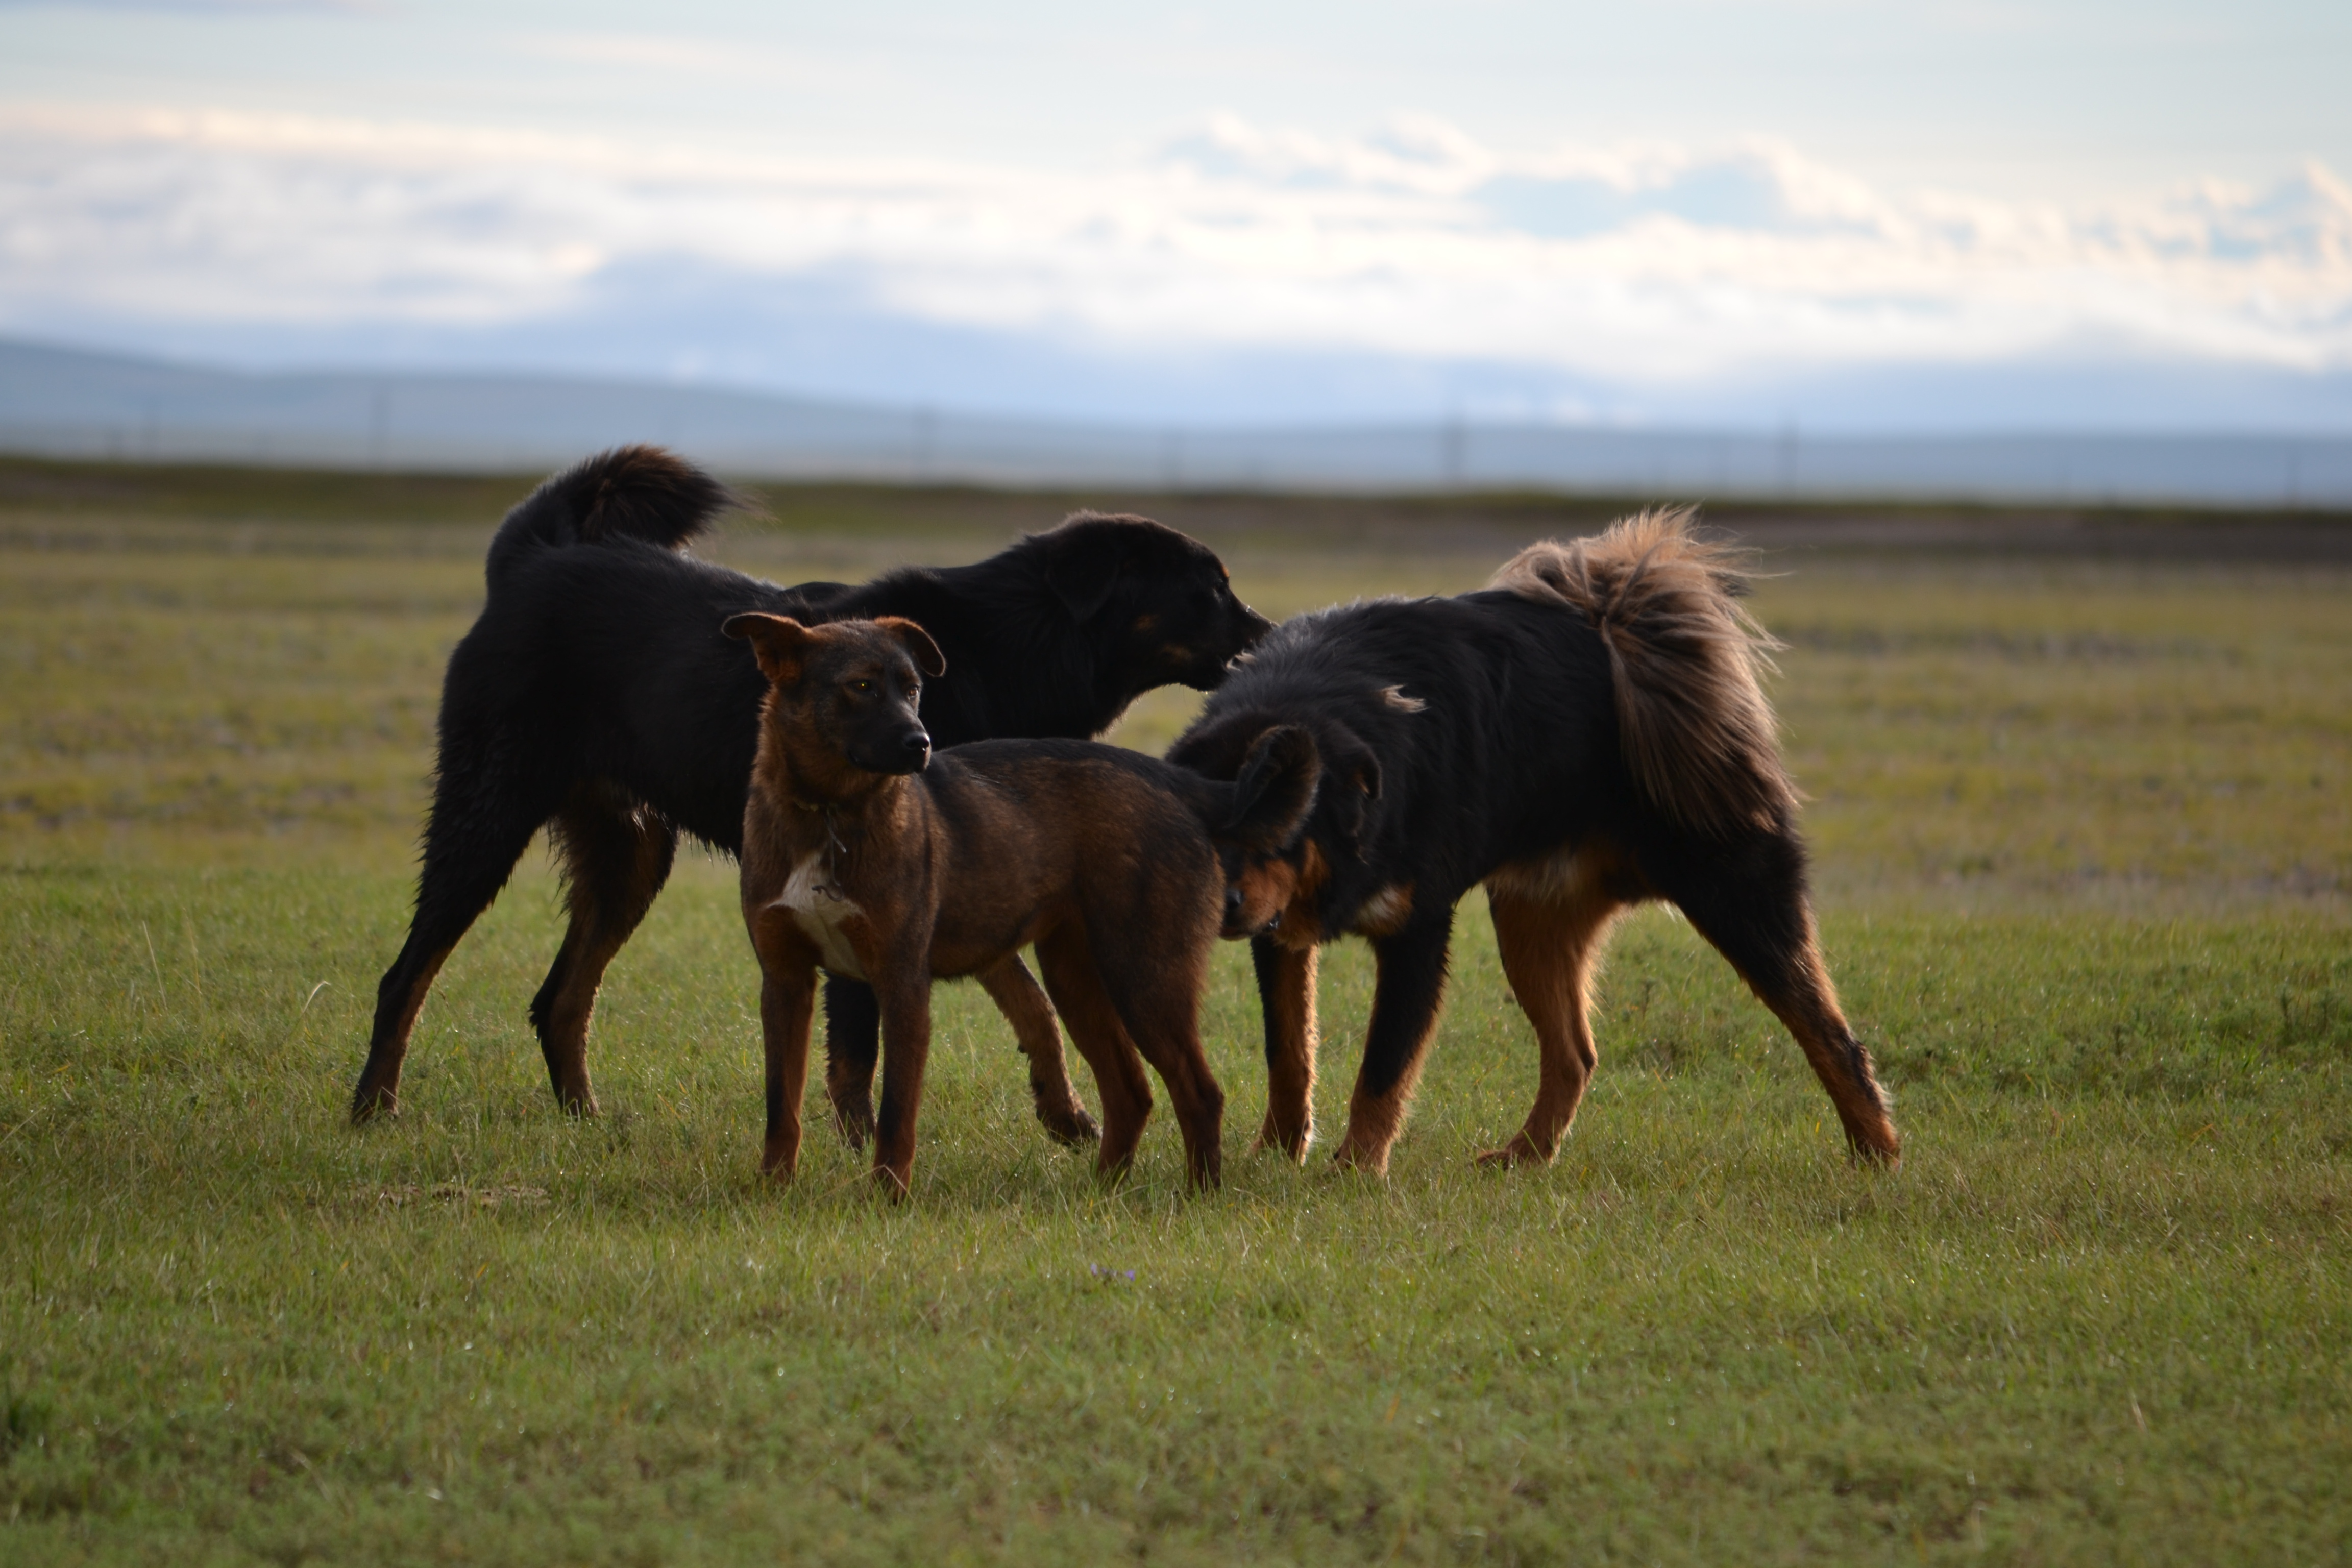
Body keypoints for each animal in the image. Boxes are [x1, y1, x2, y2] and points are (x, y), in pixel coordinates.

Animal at [348, 447, 1270, 1133]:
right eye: (1208, 588)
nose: (1270, 634)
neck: (1016, 647)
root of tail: (531, 561)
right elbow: (861, 1049)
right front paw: (862, 1147)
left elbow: (1029, 1007)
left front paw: (1064, 1112)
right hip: (486, 815)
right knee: (407, 977)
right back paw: (373, 1109)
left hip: (630, 855)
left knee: (560, 1000)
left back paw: (586, 1121)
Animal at [729, 611, 1326, 1189]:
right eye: (860, 686)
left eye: (913, 688)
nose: (921, 744)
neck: (828, 815)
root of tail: (1177, 784)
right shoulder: (784, 982)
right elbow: (781, 1103)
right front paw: (773, 1189)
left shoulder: (902, 985)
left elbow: (897, 1112)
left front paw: (887, 1196)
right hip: (1077, 979)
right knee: (1131, 1092)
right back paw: (1102, 1190)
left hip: (1147, 978)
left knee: (1200, 1093)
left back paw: (1198, 1193)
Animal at [1166, 512, 1900, 1175]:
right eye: (1211, 826)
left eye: (1284, 824)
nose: (1222, 904)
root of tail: (1612, 620)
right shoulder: (1282, 931)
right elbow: (1289, 1051)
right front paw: (1276, 1153)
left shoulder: (1417, 930)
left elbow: (1383, 1069)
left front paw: (1355, 1172)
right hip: (1532, 919)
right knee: (1575, 1054)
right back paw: (1526, 1156)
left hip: (1738, 895)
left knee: (1833, 1037)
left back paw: (1877, 1155)